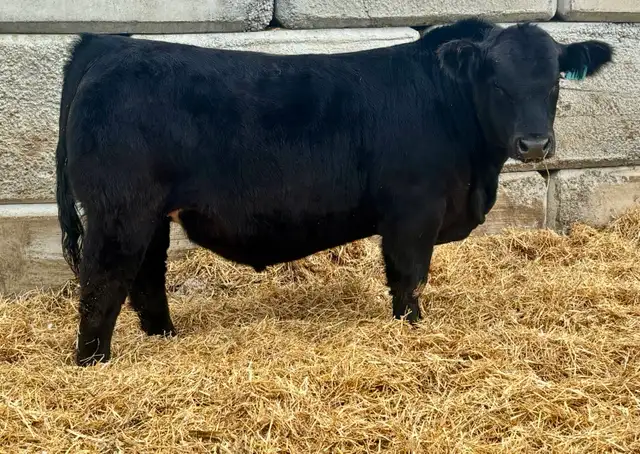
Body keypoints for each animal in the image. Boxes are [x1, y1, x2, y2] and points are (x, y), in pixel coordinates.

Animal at [55, 19, 613, 366]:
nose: (535, 143)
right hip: (119, 210)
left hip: (148, 213)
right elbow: (409, 277)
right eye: (496, 82)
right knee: (102, 283)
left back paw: (165, 336)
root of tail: (108, 46)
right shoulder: (413, 211)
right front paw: (412, 328)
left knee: (146, 276)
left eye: (555, 82)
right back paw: (94, 362)